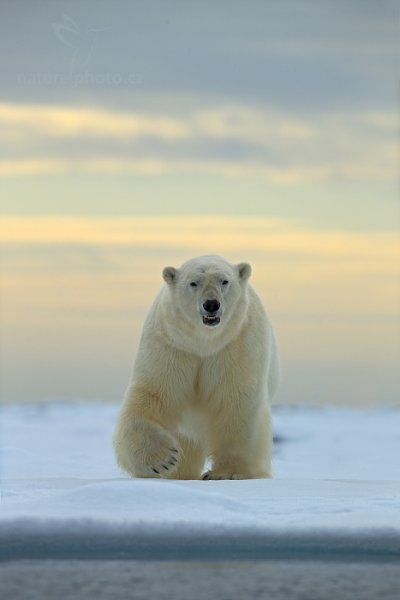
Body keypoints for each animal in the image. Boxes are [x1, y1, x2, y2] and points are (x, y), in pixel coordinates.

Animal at [114, 255, 280, 480]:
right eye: (193, 283)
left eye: (224, 281)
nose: (211, 304)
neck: (203, 342)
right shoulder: (172, 346)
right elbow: (153, 393)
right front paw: (163, 461)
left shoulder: (236, 345)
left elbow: (237, 401)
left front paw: (226, 473)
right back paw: (178, 473)